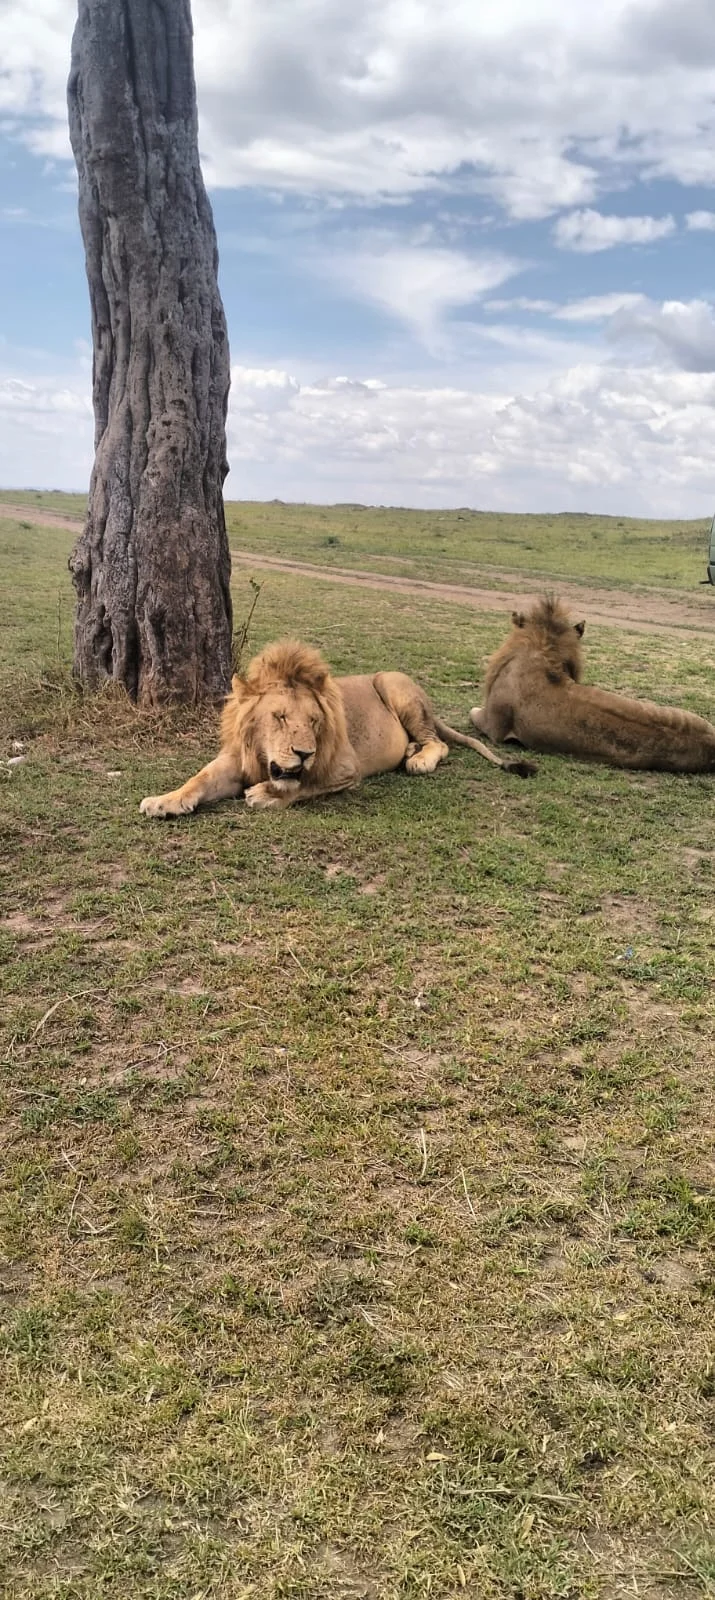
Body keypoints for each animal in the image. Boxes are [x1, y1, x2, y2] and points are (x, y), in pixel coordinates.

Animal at [140, 637, 536, 818]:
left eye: (314, 721)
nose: (304, 752)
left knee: (439, 742)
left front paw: (266, 794)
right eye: (280, 717)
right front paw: (164, 801)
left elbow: (305, 786)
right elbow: (200, 778)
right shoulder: (237, 759)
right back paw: (410, 750)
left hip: (392, 685)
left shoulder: (346, 767)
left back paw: (418, 759)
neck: (263, 757)